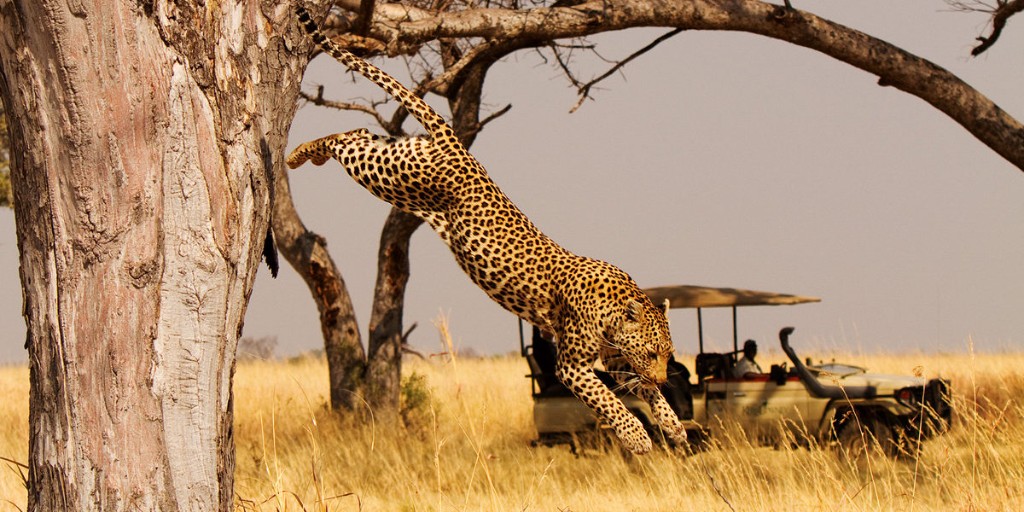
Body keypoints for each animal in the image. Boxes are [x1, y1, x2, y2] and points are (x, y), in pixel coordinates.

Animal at [288, 5, 685, 454]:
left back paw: (305, 153)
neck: (615, 310)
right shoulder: (572, 366)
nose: (664, 374)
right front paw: (637, 436)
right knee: (346, 141)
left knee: (357, 133)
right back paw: (297, 154)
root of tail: (456, 144)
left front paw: (672, 423)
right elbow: (609, 400)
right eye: (653, 352)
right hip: (393, 176)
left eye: (668, 354)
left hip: (396, 160)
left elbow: (642, 391)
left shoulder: (614, 357)